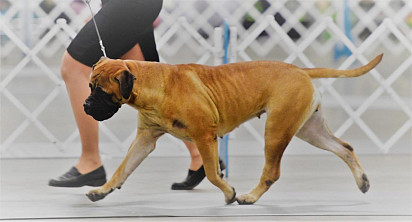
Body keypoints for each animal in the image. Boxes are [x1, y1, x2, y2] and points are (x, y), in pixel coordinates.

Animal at [83, 54, 384, 205]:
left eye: (102, 92)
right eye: (89, 86)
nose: (85, 105)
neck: (152, 85)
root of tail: (301, 70)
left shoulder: (205, 136)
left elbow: (212, 173)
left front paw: (229, 193)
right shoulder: (145, 139)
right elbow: (123, 169)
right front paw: (103, 190)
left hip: (277, 130)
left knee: (272, 172)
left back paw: (249, 197)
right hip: (309, 130)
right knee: (344, 148)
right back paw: (363, 181)